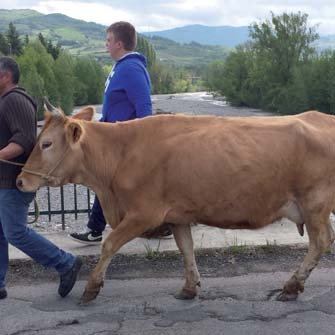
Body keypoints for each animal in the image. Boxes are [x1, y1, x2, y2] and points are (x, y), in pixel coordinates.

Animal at [16, 104, 335, 304]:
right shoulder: (178, 214)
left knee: (320, 242)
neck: (120, 154)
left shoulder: (144, 213)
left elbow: (109, 245)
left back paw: (292, 286)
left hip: (314, 202)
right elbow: (186, 248)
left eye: (46, 144)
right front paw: (189, 287)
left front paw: (91, 288)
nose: (20, 181)